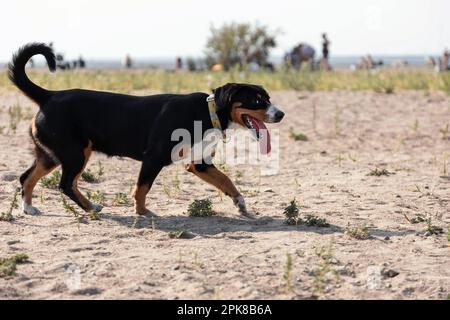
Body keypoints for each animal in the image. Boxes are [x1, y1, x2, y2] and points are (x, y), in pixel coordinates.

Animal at [7, 42, 284, 218]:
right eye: (257, 100)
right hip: (75, 153)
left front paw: (240, 204)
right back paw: (91, 207)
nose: (280, 114)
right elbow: (142, 188)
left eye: (268, 98)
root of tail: (49, 96)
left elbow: (227, 180)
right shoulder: (153, 158)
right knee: (65, 184)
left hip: (52, 155)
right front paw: (142, 212)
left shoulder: (200, 163)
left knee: (27, 178)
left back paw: (28, 208)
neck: (208, 113)